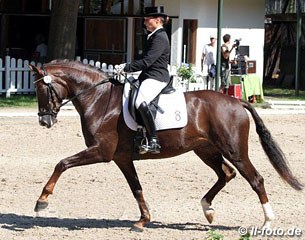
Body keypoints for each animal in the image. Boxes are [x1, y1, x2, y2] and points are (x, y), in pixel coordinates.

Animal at [29, 61, 302, 232]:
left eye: (42, 88)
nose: (44, 121)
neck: (99, 98)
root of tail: (236, 102)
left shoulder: (101, 152)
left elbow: (62, 163)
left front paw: (41, 201)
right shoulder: (122, 158)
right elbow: (136, 189)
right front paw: (143, 221)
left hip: (234, 151)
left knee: (255, 179)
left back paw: (267, 222)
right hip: (206, 150)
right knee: (226, 174)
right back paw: (208, 209)